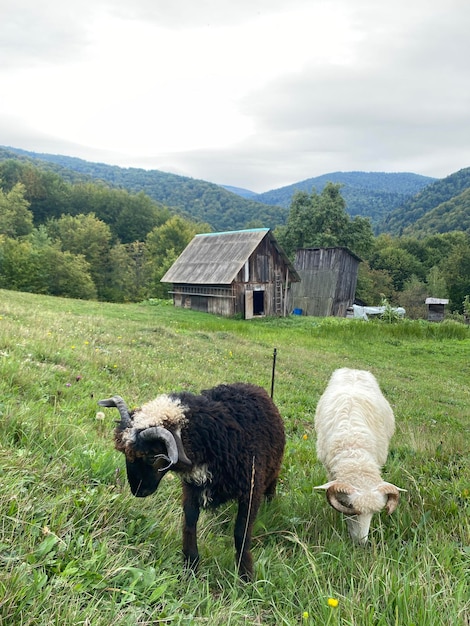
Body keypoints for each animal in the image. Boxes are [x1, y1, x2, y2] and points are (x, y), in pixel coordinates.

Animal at [97, 380, 284, 580]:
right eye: (125, 454)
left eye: (152, 456)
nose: (138, 491)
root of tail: (249, 385)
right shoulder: (192, 487)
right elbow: (189, 523)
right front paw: (190, 565)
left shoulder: (251, 490)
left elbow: (241, 533)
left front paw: (245, 575)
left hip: (273, 468)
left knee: (272, 485)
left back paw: (270, 504)